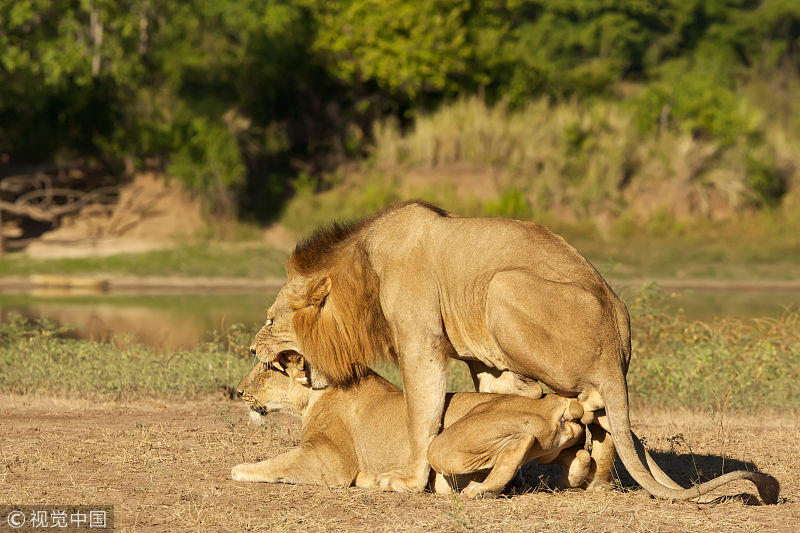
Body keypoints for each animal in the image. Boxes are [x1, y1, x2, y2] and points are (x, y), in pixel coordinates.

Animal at [228, 352, 592, 496]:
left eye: (264, 369)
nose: (239, 391)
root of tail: (552, 402)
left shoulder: (331, 460)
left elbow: (277, 464)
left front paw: (240, 469)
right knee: (577, 455)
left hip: (443, 447)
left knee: (519, 442)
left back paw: (478, 490)